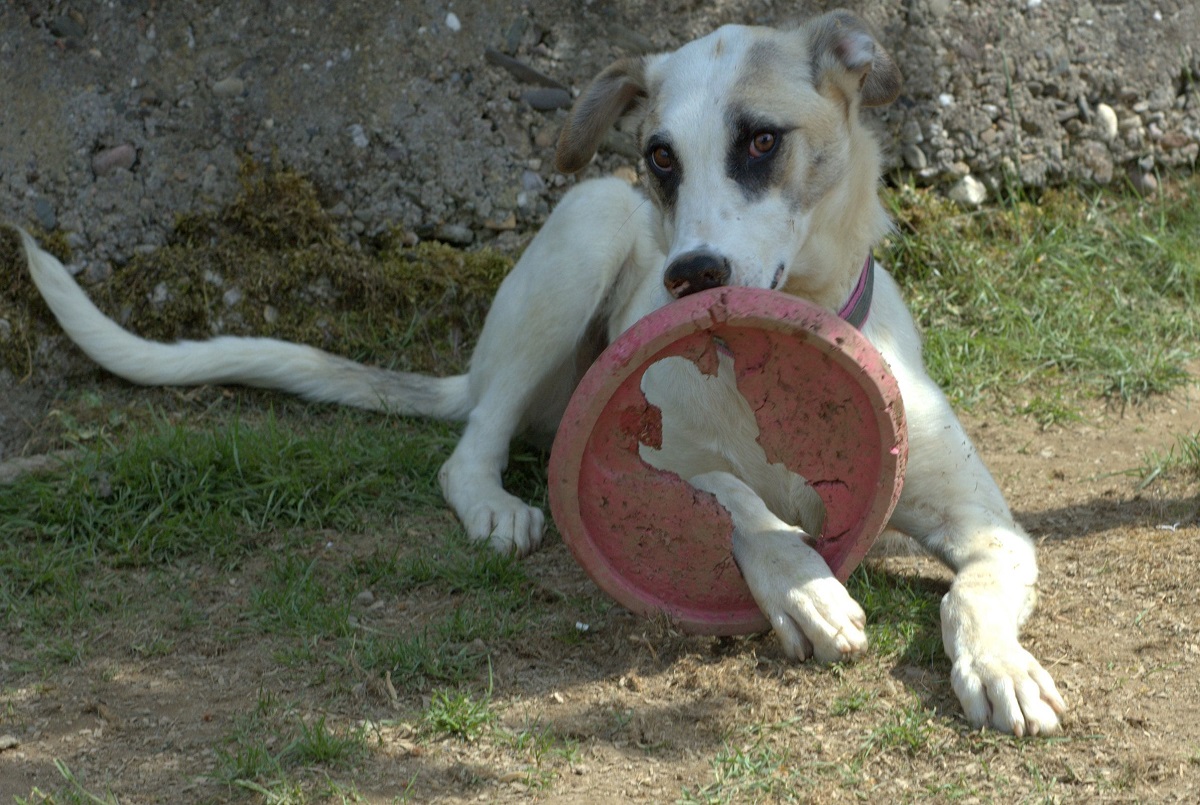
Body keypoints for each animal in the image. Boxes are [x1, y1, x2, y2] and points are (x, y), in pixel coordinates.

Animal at [16, 7, 1070, 739]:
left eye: (763, 140)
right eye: (660, 157)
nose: (690, 274)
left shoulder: (990, 524)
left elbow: (971, 593)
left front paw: (1001, 668)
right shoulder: (647, 442)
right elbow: (730, 491)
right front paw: (802, 580)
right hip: (583, 235)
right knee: (470, 444)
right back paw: (494, 503)